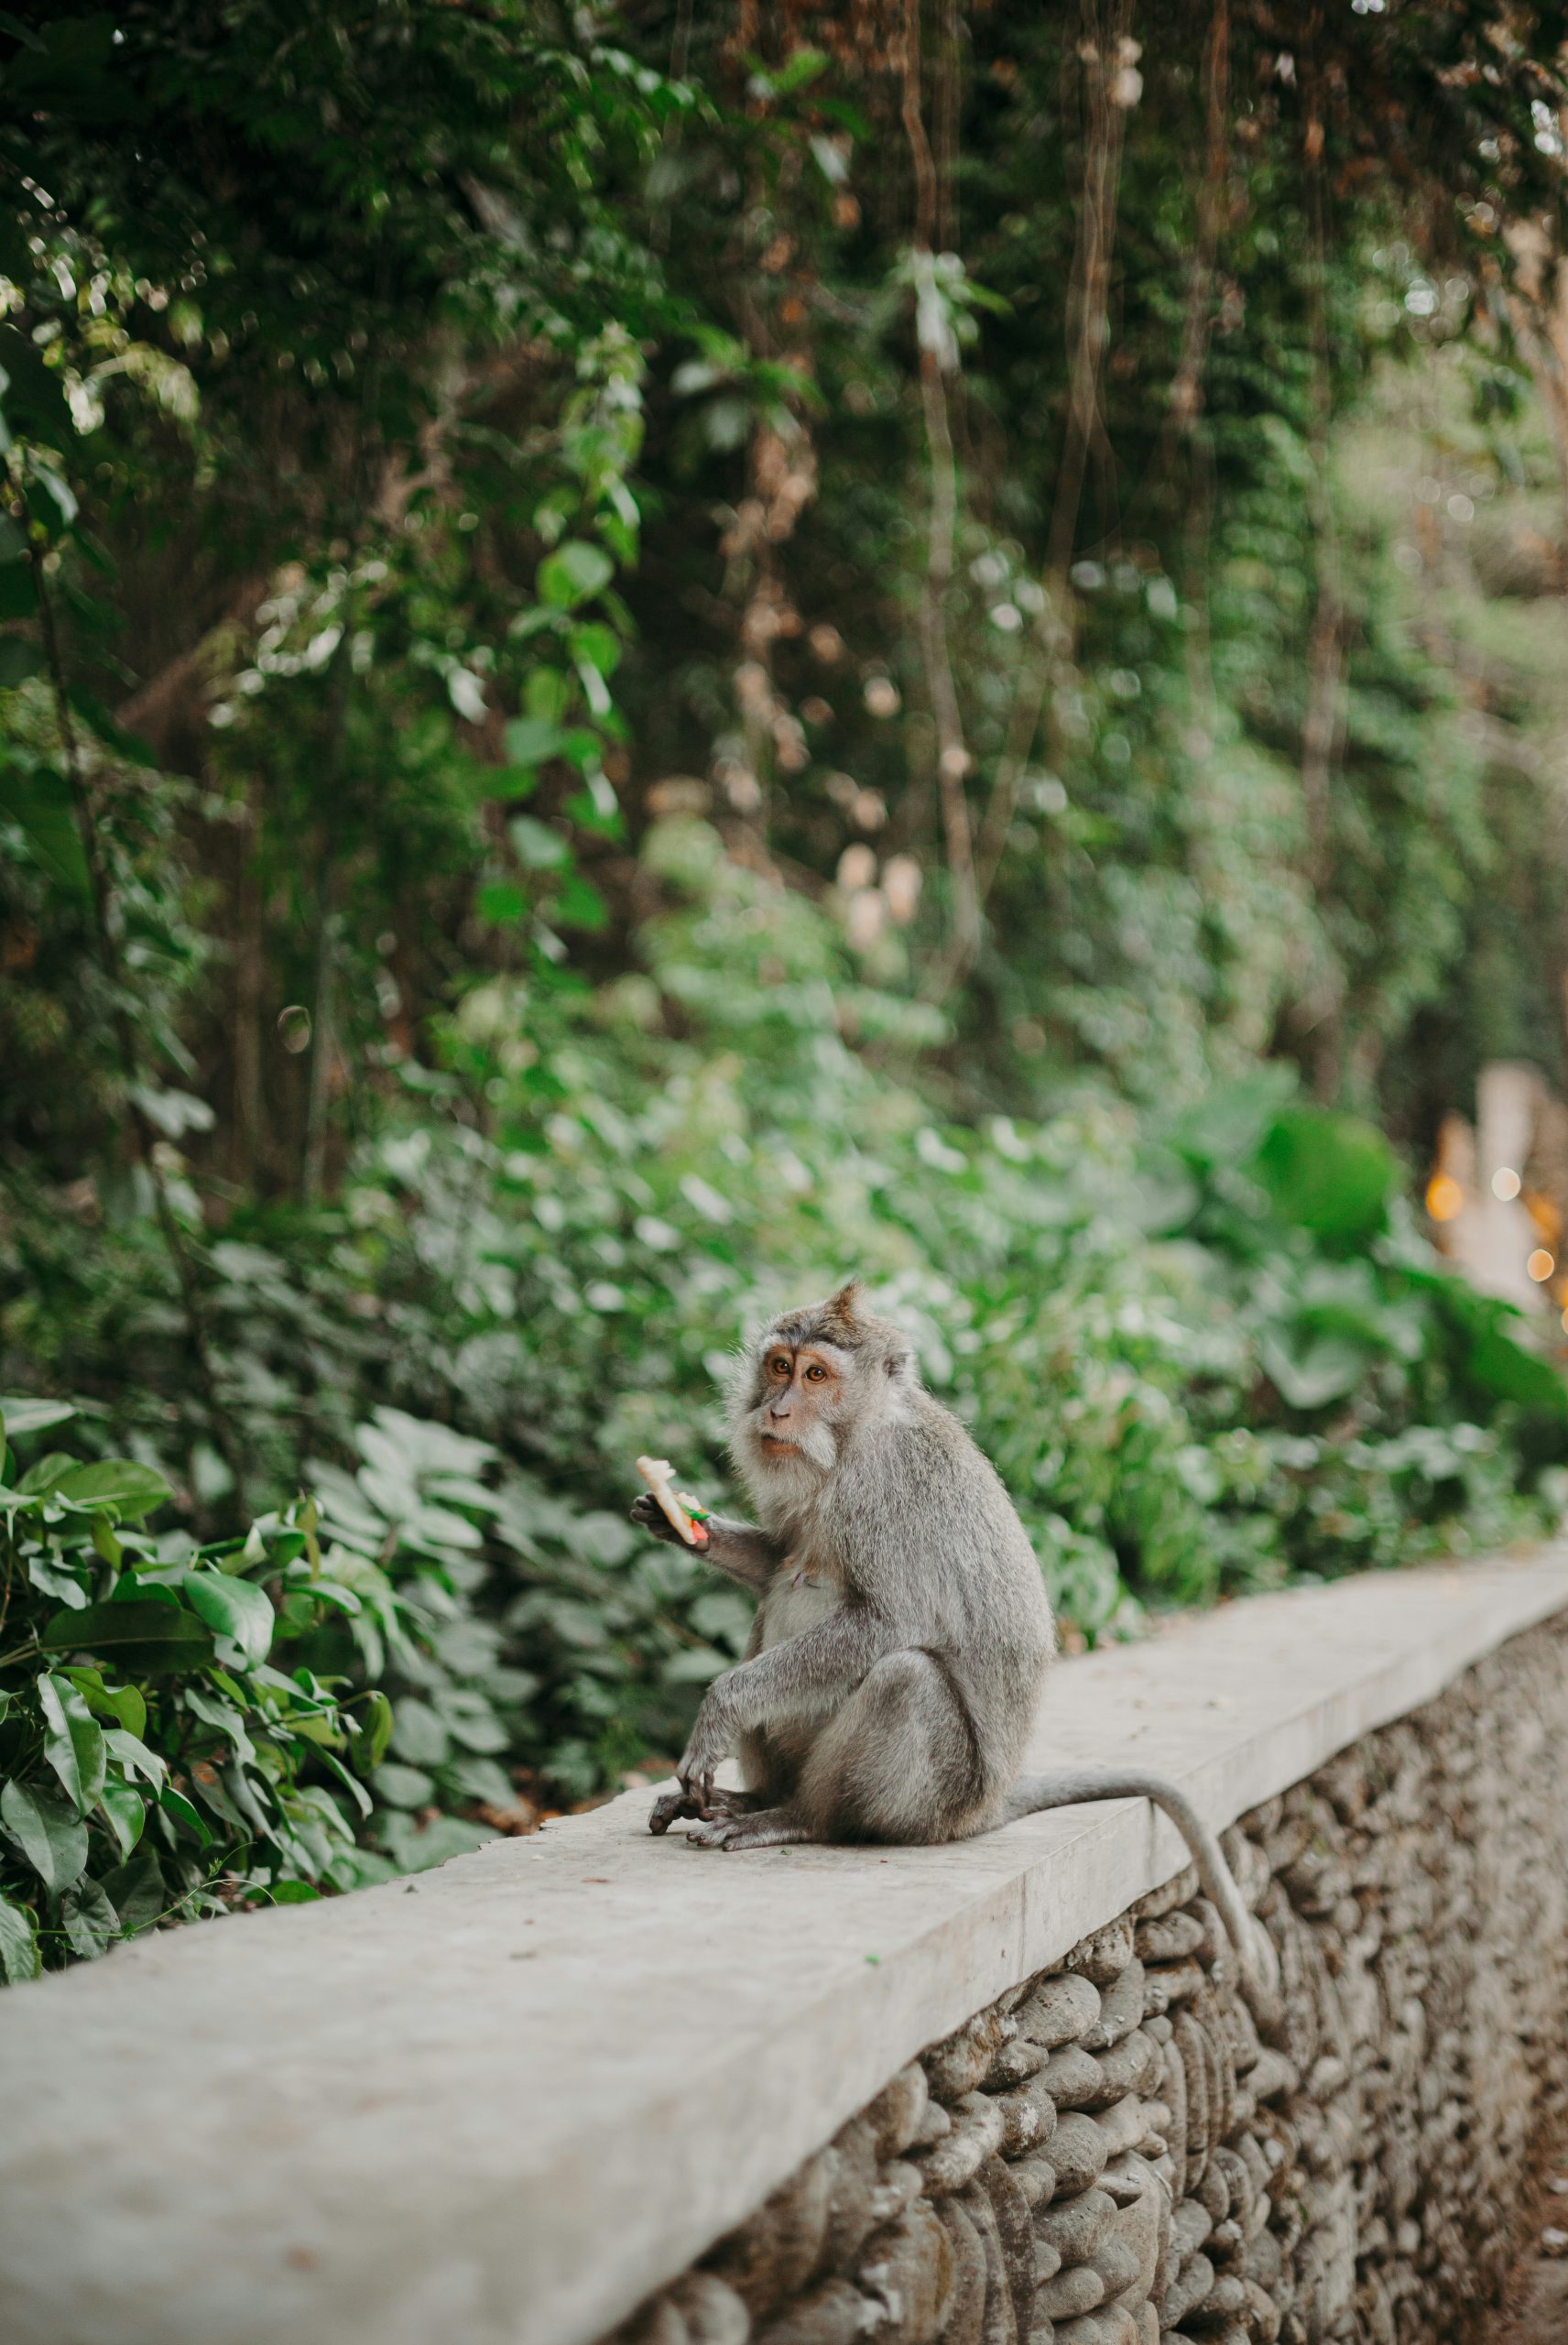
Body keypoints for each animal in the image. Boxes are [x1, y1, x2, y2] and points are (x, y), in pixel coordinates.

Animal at [629, 1280, 1279, 2009]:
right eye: (778, 1366)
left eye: (816, 1375)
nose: (778, 1409)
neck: (854, 1441)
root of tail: (987, 1808)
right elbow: (777, 1565)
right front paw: (682, 1523)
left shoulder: (884, 1491)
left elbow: (890, 1624)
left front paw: (723, 1703)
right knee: (777, 1604)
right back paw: (755, 1797)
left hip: (940, 1799)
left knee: (906, 1678)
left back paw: (795, 1818)